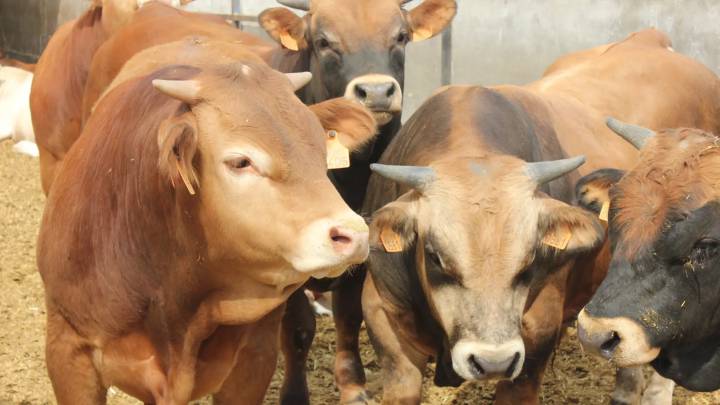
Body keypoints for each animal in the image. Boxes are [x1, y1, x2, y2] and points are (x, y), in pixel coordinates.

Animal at [257, 1, 456, 401]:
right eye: (323, 41)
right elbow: (298, 329)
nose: (376, 91)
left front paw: (352, 386)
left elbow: (349, 318)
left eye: (400, 36)